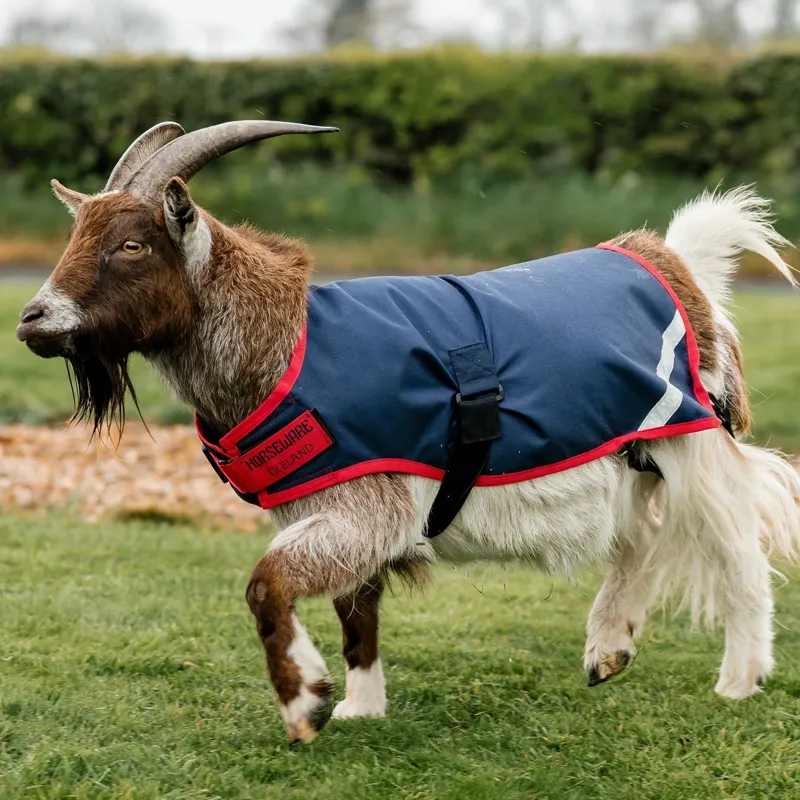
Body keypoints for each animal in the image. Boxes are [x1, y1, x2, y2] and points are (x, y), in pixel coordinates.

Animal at [17, 120, 800, 745]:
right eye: (78, 236)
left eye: (131, 244)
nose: (33, 320)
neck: (285, 344)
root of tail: (676, 263)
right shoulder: (331, 500)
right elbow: (353, 605)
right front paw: (360, 704)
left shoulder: (369, 501)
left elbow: (269, 584)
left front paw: (305, 704)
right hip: (629, 454)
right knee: (642, 535)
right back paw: (609, 649)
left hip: (690, 435)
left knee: (735, 541)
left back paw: (740, 678)